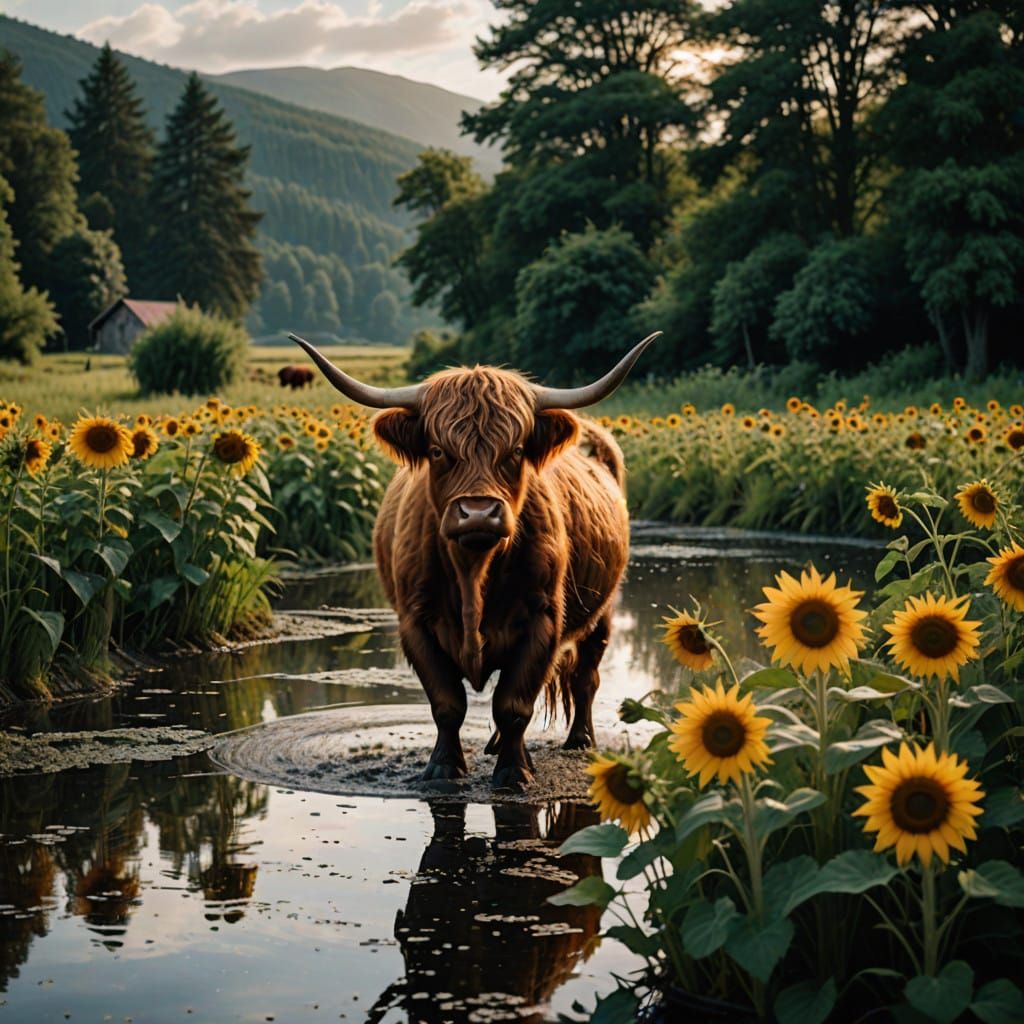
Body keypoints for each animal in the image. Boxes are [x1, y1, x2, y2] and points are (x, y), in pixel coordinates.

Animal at [290, 332, 658, 789]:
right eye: (437, 450)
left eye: (515, 450)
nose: (479, 513)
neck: (472, 572)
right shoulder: (415, 624)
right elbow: (448, 704)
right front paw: (443, 768)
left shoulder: (542, 620)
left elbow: (514, 703)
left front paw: (514, 772)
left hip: (603, 613)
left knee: (585, 677)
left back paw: (580, 740)